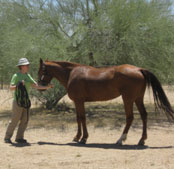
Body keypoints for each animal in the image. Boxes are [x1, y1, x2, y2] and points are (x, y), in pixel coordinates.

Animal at [38, 58, 174, 145]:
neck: (72, 73)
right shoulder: (78, 102)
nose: (40, 86)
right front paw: (78, 137)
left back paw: (120, 140)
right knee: (144, 115)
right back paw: (141, 140)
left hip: (128, 99)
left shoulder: (79, 101)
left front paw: (83, 138)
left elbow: (82, 118)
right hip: (138, 99)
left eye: (41, 71)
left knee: (130, 117)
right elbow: (78, 118)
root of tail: (139, 69)